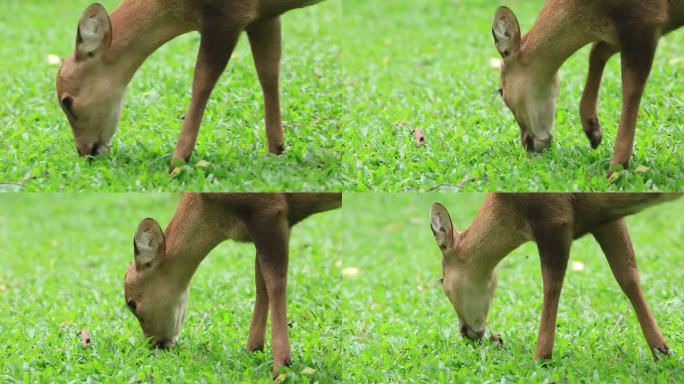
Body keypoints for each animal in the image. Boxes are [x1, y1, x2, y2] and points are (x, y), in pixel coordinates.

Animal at [56, 1, 324, 170]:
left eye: (67, 102)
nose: (85, 151)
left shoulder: (227, 16)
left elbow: (201, 80)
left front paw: (177, 161)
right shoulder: (263, 16)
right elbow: (268, 72)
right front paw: (276, 149)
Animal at [123, 191, 342, 376]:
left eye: (132, 304)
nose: (154, 344)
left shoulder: (269, 210)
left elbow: (275, 282)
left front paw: (281, 367)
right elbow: (260, 282)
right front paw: (253, 349)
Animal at [430, 194, 680, 362]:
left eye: (443, 284)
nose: (465, 332)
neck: (511, 210)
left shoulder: (554, 218)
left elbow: (551, 286)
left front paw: (541, 357)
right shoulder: (606, 217)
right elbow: (628, 277)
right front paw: (661, 351)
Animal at [494, 1, 680, 172]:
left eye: (501, 91)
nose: (527, 144)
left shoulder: (645, 20)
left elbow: (631, 87)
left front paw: (616, 169)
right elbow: (596, 52)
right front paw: (593, 131)